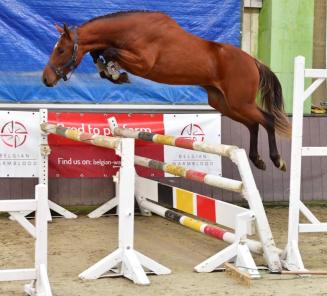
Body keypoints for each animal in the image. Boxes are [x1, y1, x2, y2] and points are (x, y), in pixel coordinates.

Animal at [41, 9, 292, 171]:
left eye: (61, 50)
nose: (46, 79)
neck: (131, 30)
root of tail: (253, 61)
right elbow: (101, 52)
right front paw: (113, 73)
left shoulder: (143, 63)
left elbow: (110, 51)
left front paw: (115, 72)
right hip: (225, 103)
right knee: (253, 124)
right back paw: (257, 159)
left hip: (240, 102)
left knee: (267, 119)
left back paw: (276, 160)